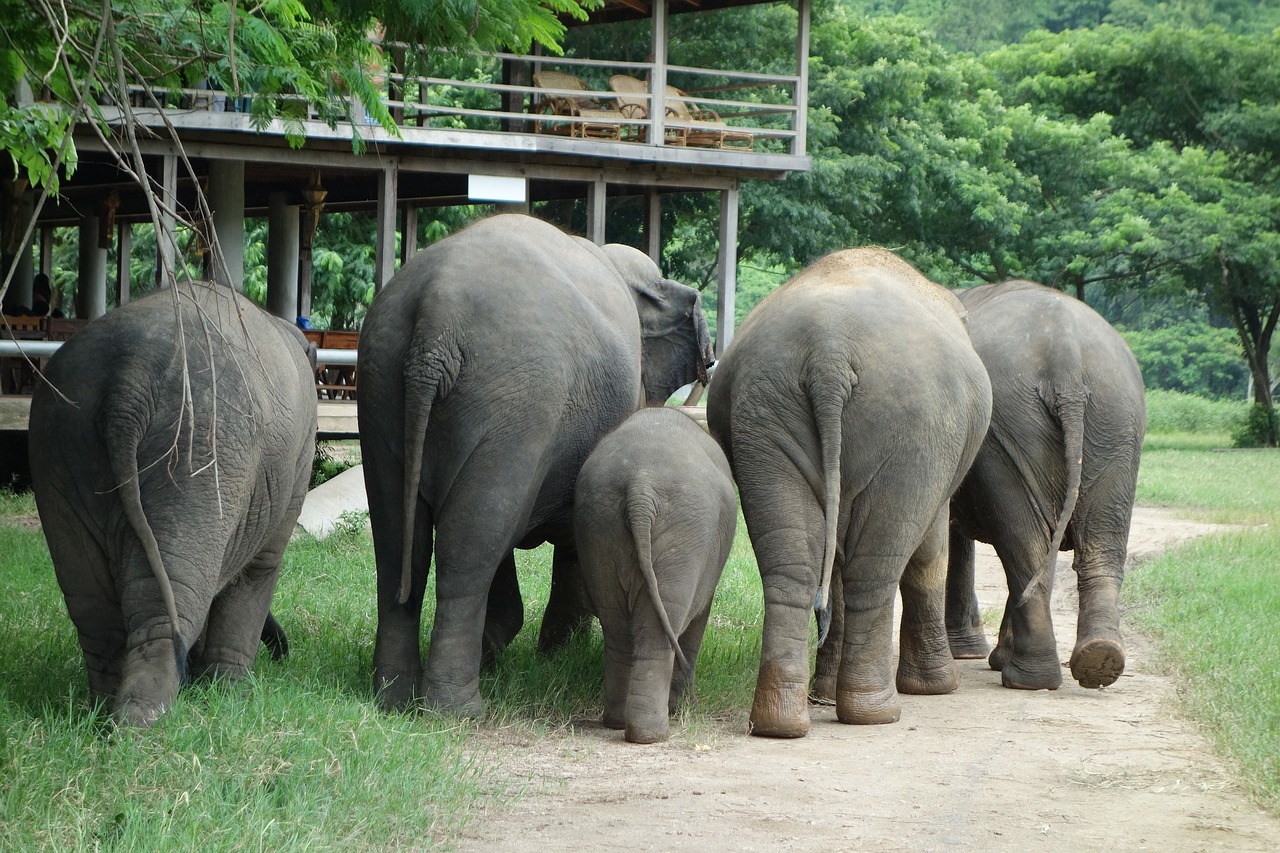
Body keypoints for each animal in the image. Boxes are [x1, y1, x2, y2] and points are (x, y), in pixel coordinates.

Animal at [29, 281, 317, 722]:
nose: (283, 653)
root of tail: (130, 378)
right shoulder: (297, 463)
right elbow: (259, 569)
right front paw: (230, 696)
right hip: (195, 449)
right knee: (169, 601)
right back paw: (141, 725)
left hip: (58, 446)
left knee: (92, 607)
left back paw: (101, 713)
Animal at [355, 211, 716, 712]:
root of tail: (436, 315)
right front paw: (556, 652)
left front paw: (527, 652)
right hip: (517, 406)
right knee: (469, 542)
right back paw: (458, 710)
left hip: (381, 385)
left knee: (398, 537)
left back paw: (393, 699)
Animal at [573, 402, 737, 742]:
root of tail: (640, 486)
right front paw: (682, 707)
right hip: (683, 538)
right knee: (661, 631)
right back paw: (651, 733)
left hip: (598, 526)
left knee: (616, 627)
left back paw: (618, 722)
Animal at [706, 244, 993, 732]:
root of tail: (829, 350)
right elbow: (930, 547)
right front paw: (937, 689)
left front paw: (823, 693)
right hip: (914, 429)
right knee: (877, 565)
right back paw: (877, 713)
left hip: (763, 411)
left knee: (792, 562)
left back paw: (780, 723)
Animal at [947, 279, 1146, 691]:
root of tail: (1065, 356)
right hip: (1111, 421)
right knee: (1083, 542)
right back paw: (1095, 659)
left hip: (1043, 424)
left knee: (1027, 541)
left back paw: (1028, 675)